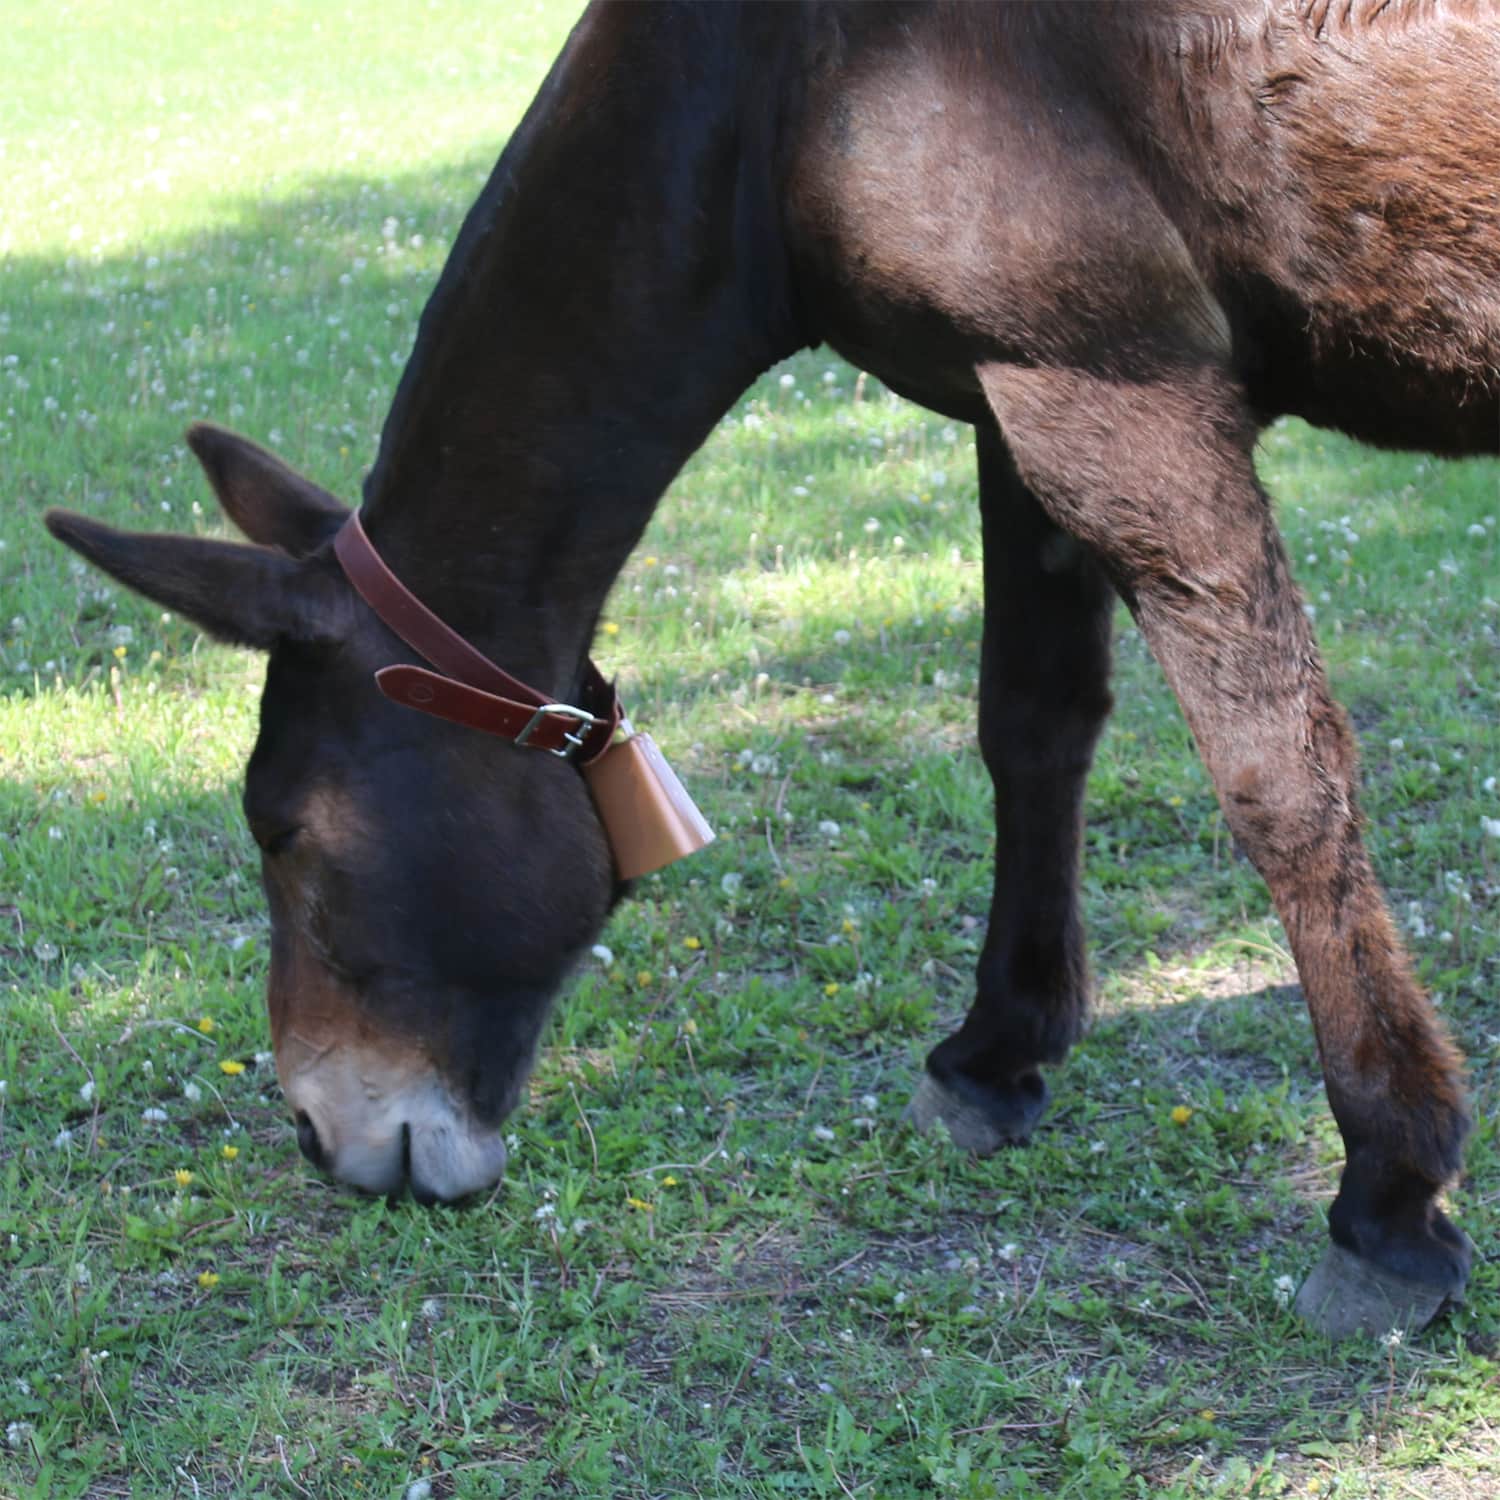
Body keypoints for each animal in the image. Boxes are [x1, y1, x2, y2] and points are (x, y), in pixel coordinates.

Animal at [45, 0, 1499, 1337]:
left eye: (285, 830)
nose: (313, 1130)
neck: (775, 78)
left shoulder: (1118, 404)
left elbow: (1281, 786)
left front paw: (1389, 1193)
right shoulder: (1012, 400)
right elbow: (1033, 725)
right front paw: (997, 1053)